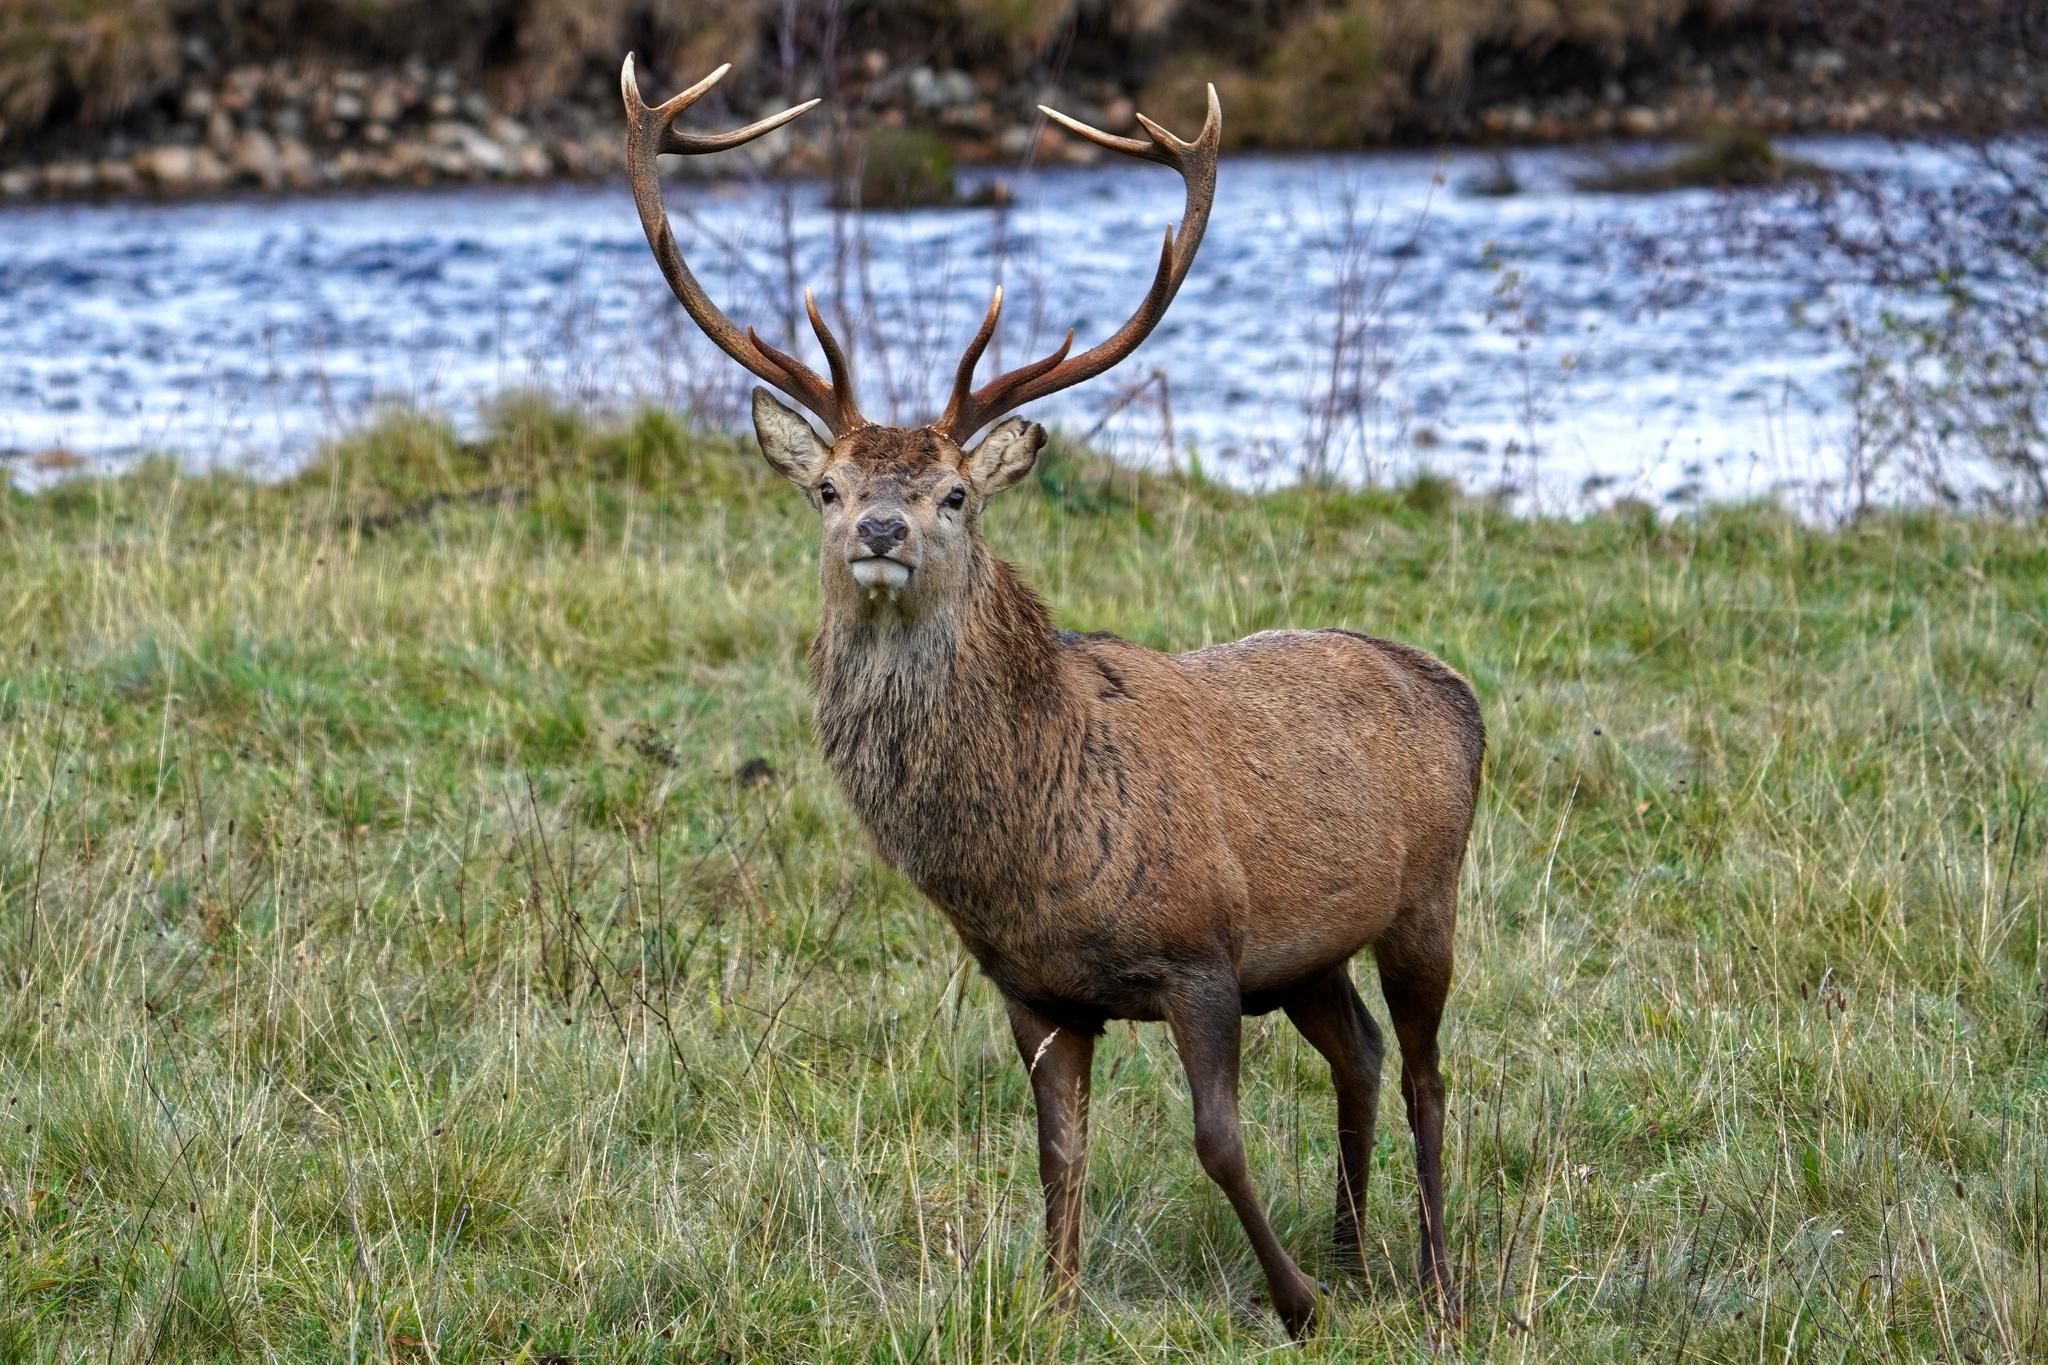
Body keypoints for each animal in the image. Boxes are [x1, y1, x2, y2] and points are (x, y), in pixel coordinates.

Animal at [621, 56, 1484, 1337]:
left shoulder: (1199, 955)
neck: (1031, 858)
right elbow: (1056, 1154)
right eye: (826, 487)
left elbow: (1216, 1141)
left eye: (955, 495)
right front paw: (1055, 1303)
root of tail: (1453, 686)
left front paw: (1290, 1307)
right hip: (1307, 955)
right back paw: (1349, 1251)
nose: (881, 529)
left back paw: (1426, 1282)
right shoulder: (1032, 990)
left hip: (1424, 894)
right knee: (1363, 1055)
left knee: (1427, 1069)